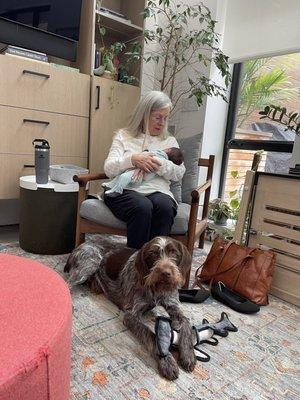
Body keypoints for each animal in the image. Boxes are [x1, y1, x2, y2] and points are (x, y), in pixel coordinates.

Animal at [64, 236, 197, 380]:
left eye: (174, 253)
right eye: (153, 254)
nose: (165, 273)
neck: (156, 289)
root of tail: (81, 245)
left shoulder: (174, 305)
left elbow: (186, 323)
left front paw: (188, 354)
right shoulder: (131, 315)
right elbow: (150, 334)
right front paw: (167, 361)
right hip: (89, 264)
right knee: (67, 283)